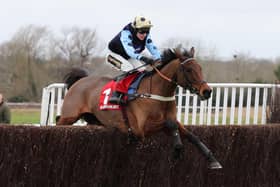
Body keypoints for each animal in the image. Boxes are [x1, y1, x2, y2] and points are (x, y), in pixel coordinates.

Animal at [57, 47, 223, 169]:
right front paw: (177, 149)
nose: (207, 91)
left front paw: (212, 159)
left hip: (94, 120)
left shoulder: (170, 121)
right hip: (69, 116)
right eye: (189, 70)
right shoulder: (142, 128)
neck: (157, 92)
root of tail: (80, 80)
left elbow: (191, 135)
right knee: (58, 122)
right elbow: (171, 125)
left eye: (200, 68)